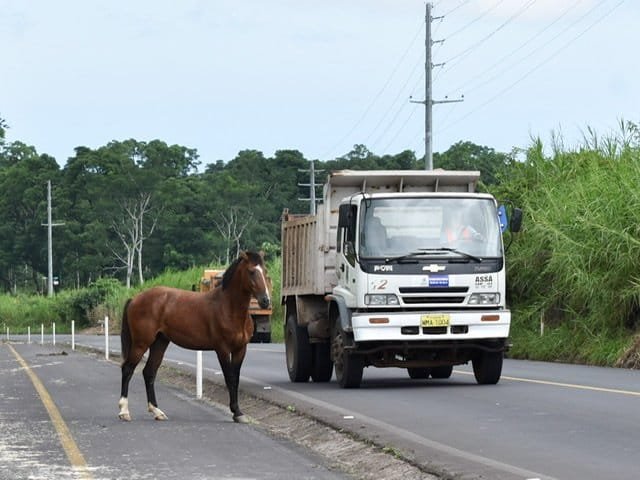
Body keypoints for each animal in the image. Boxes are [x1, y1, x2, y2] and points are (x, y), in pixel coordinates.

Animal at [118, 251, 270, 424]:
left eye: (265, 271)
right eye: (251, 272)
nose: (265, 300)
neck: (228, 307)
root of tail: (135, 299)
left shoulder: (240, 349)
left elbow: (236, 379)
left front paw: (239, 412)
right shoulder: (223, 350)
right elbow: (230, 378)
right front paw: (236, 412)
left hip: (160, 342)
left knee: (149, 372)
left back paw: (157, 411)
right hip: (141, 343)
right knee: (127, 369)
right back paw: (124, 411)